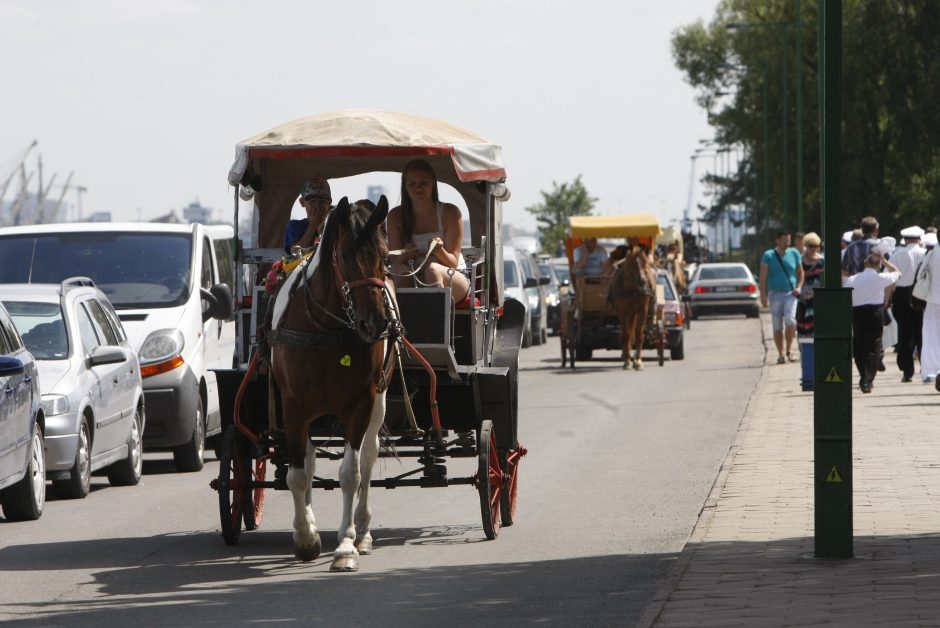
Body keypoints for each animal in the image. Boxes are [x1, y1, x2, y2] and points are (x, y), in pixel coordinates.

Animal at [270, 195, 392, 568]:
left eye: (384, 256)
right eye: (346, 257)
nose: (376, 323)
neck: (326, 328)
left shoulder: (361, 403)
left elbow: (351, 474)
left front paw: (346, 544)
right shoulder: (293, 406)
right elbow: (297, 474)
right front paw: (306, 536)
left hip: (379, 402)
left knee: (368, 456)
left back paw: (363, 532)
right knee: (309, 461)